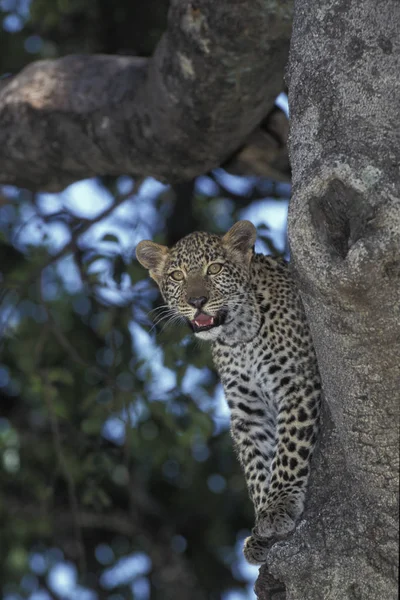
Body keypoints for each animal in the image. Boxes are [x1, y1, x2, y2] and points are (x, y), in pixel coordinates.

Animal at [137, 219, 322, 564]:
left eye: (215, 269)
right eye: (177, 276)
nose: (197, 301)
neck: (239, 336)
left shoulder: (297, 384)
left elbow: (288, 449)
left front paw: (278, 505)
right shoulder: (247, 411)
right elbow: (255, 467)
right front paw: (262, 522)